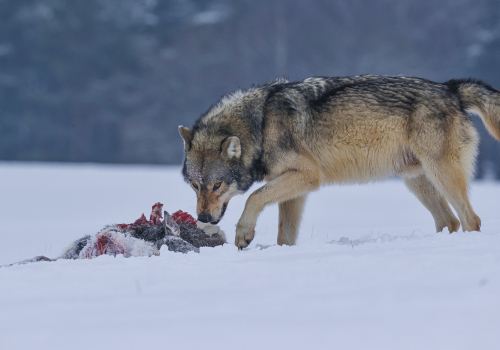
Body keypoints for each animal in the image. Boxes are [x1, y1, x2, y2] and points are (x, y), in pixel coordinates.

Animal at [180, 75, 500, 247]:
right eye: (195, 186)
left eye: (217, 185)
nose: (202, 219)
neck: (261, 124)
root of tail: (451, 88)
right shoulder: (295, 189)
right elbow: (285, 235)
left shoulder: (306, 176)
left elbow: (253, 198)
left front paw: (244, 234)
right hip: (418, 182)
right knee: (449, 221)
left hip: (441, 175)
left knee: (471, 220)